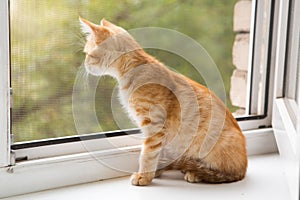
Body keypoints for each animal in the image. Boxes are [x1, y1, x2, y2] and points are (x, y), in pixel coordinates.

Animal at [79, 17, 246, 186]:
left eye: (88, 54)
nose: (85, 64)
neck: (134, 69)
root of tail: (244, 168)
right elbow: (158, 153)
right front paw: (155, 171)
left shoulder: (154, 125)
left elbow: (148, 154)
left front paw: (144, 176)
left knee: (225, 174)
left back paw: (195, 173)